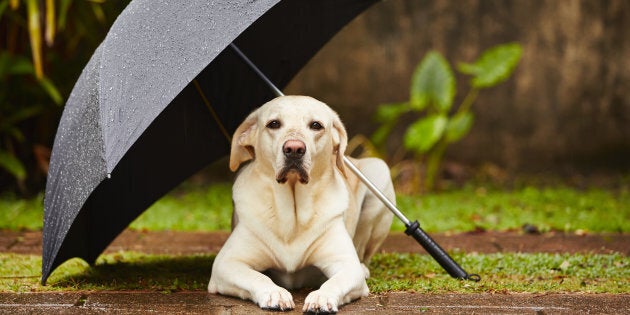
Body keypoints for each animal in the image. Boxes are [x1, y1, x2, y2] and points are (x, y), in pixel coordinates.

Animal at [207, 95, 396, 314]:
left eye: (316, 125)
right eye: (274, 124)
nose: (294, 149)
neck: (293, 211)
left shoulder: (346, 265)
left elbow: (335, 281)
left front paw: (322, 297)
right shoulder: (226, 263)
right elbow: (257, 276)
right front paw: (275, 293)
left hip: (380, 173)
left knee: (363, 253)